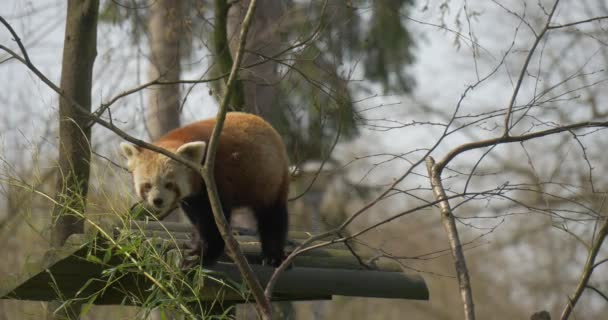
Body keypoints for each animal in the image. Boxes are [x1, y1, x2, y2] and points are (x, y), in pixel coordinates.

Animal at [121, 111, 290, 266]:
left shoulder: (215, 175)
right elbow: (197, 218)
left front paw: (203, 255)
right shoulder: (192, 196)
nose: (158, 200)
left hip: (271, 178)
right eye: (147, 185)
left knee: (272, 217)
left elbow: (213, 222)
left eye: (169, 184)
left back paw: (273, 256)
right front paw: (198, 246)